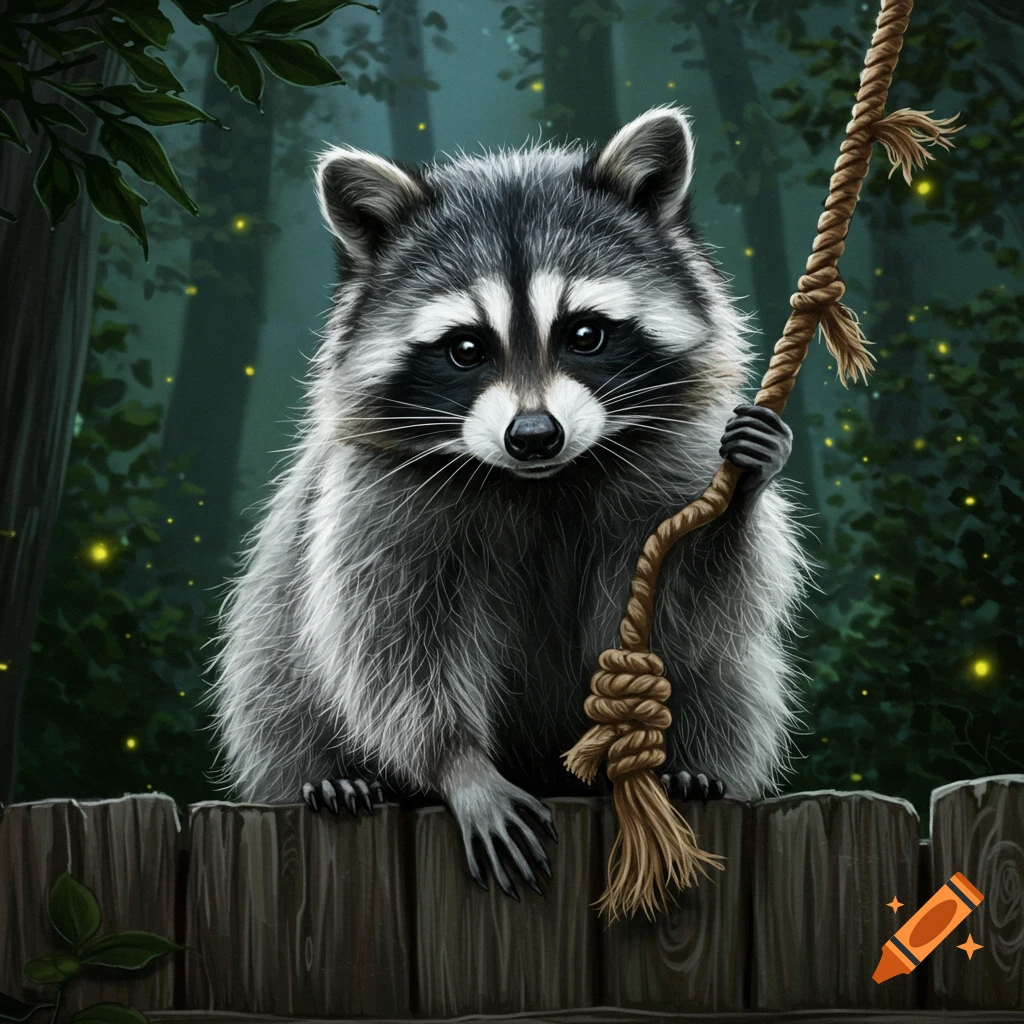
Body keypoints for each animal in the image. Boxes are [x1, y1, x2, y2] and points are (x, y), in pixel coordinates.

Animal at [209, 107, 813, 900]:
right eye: (466, 348)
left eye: (585, 333)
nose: (533, 436)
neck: (538, 483)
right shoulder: (379, 504)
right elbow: (392, 644)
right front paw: (459, 765)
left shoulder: (672, 463)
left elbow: (694, 610)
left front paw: (743, 490)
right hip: (275, 654)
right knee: (280, 680)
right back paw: (334, 776)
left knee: (731, 681)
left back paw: (688, 766)